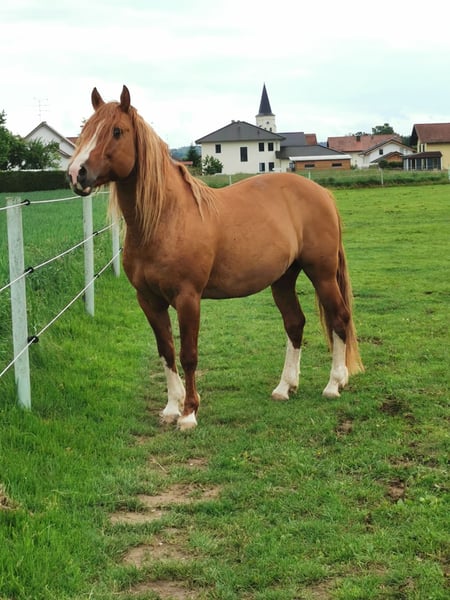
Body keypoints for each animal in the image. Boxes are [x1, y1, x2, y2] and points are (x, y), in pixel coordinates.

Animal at [68, 85, 363, 430]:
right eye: (86, 130)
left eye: (117, 131)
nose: (76, 173)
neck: (165, 219)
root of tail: (321, 193)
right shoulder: (149, 300)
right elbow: (166, 351)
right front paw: (171, 407)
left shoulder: (188, 298)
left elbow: (188, 354)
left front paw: (189, 413)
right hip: (283, 278)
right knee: (295, 323)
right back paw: (284, 387)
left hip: (322, 273)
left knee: (339, 318)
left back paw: (334, 384)